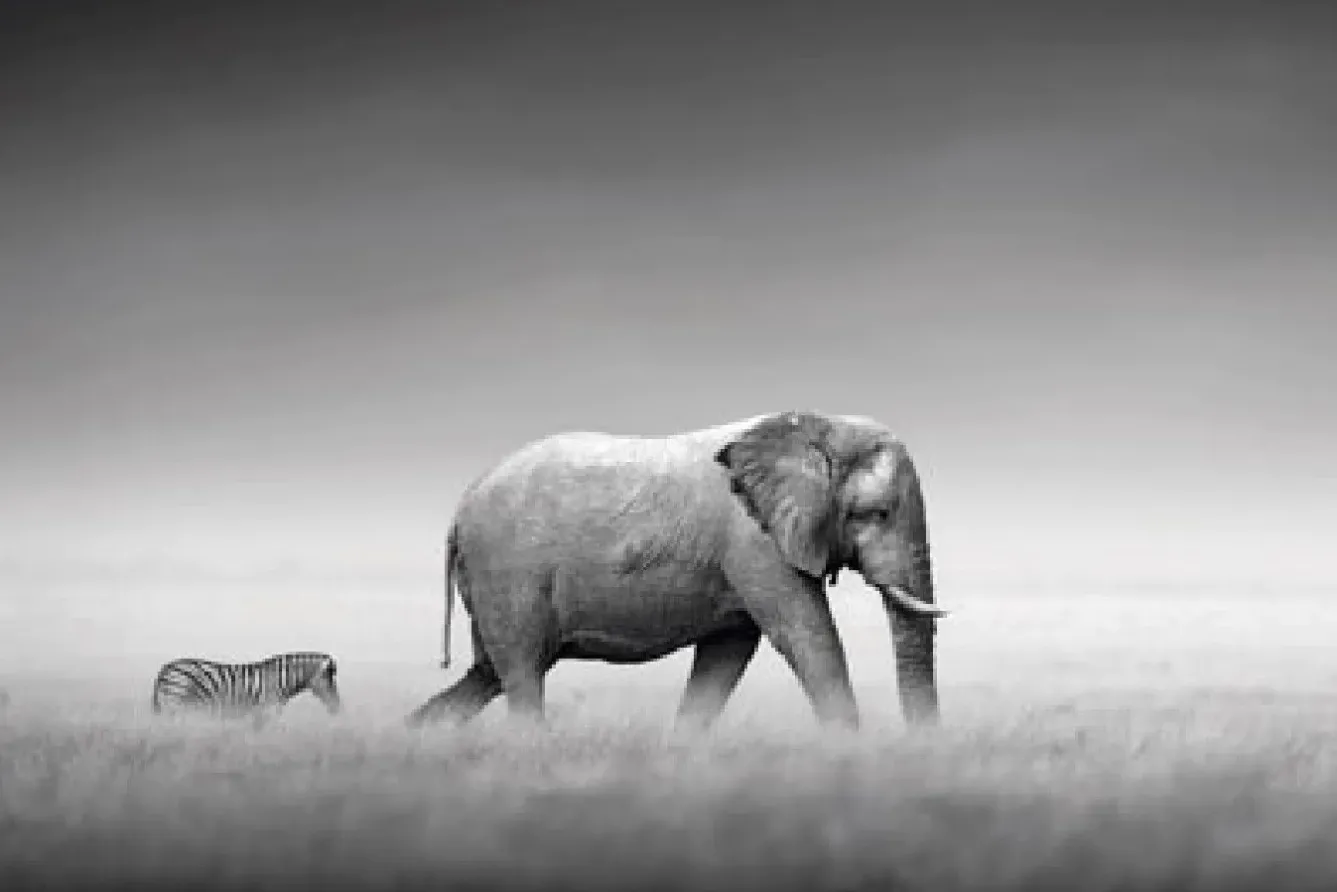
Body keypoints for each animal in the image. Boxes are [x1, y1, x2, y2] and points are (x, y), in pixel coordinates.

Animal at [151, 651, 342, 724]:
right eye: (330, 682)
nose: (338, 708)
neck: (279, 681)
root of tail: (164, 670)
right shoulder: (266, 712)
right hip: (175, 706)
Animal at [406, 410, 948, 732]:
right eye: (876, 514)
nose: (918, 752)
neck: (816, 426)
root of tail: (459, 511)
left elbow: (727, 653)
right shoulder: (754, 541)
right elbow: (806, 636)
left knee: (489, 672)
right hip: (507, 572)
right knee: (520, 673)